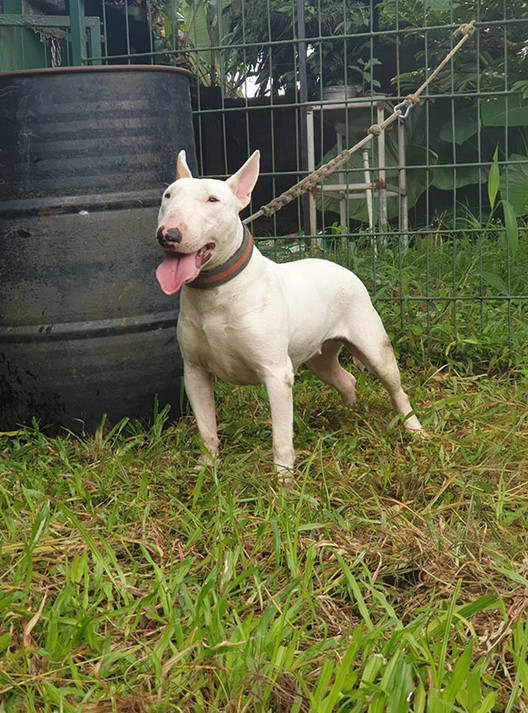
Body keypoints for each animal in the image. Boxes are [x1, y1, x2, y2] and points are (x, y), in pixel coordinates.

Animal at [155, 147, 422, 476]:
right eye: (168, 196)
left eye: (212, 200)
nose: (169, 235)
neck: (217, 293)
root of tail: (340, 267)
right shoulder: (195, 372)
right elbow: (207, 427)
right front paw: (207, 467)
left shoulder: (276, 374)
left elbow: (281, 435)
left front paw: (284, 481)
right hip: (320, 358)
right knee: (345, 378)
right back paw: (350, 412)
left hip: (374, 346)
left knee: (396, 388)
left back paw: (414, 428)